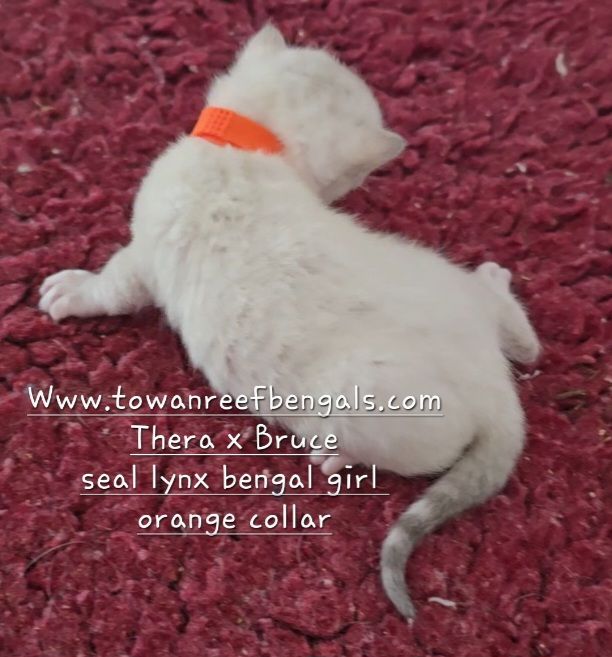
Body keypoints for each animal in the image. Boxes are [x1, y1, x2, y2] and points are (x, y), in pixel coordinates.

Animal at [38, 25, 540, 618]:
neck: (250, 145)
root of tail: (493, 387)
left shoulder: (146, 252)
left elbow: (113, 285)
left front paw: (74, 291)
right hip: (445, 279)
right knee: (525, 342)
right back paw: (498, 287)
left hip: (375, 406)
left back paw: (334, 454)